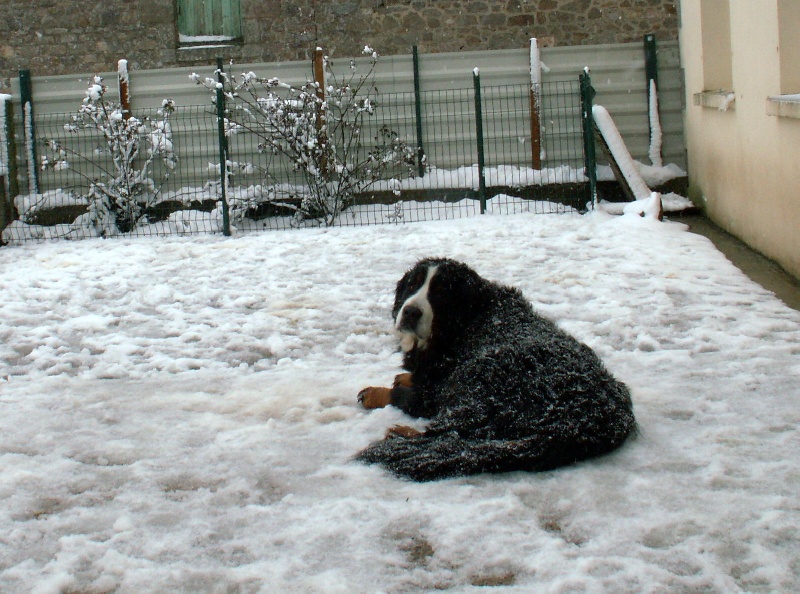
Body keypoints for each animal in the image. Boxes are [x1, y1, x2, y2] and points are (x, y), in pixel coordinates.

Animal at [356, 256, 636, 478]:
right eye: (413, 285)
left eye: (441, 293)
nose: (411, 312)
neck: (466, 321)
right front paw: (406, 377)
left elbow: (420, 396)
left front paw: (379, 391)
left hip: (482, 374)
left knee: (450, 433)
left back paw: (400, 431)